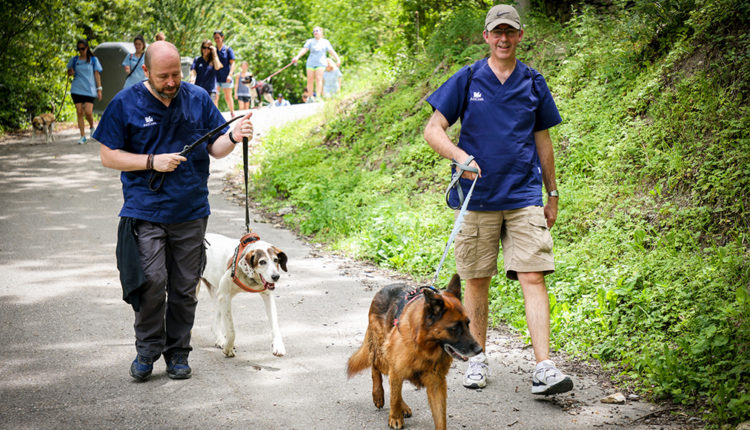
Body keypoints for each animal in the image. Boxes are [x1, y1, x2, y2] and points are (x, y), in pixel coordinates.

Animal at [347, 274, 482, 430]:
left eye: (468, 324)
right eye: (454, 328)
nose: (479, 350)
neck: (424, 347)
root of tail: (382, 290)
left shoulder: (436, 383)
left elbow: (440, 417)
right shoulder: (397, 369)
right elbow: (394, 396)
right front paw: (395, 417)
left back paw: (403, 407)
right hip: (383, 351)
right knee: (376, 367)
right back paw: (378, 395)